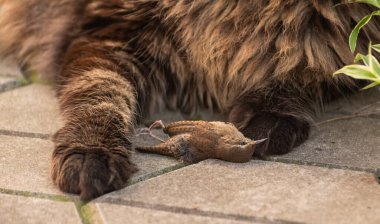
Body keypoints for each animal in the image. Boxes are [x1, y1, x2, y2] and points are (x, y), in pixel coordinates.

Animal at [0, 0, 378, 200]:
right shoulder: (107, 33)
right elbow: (100, 94)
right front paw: (91, 152)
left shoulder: (348, 47)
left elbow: (296, 64)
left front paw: (271, 114)